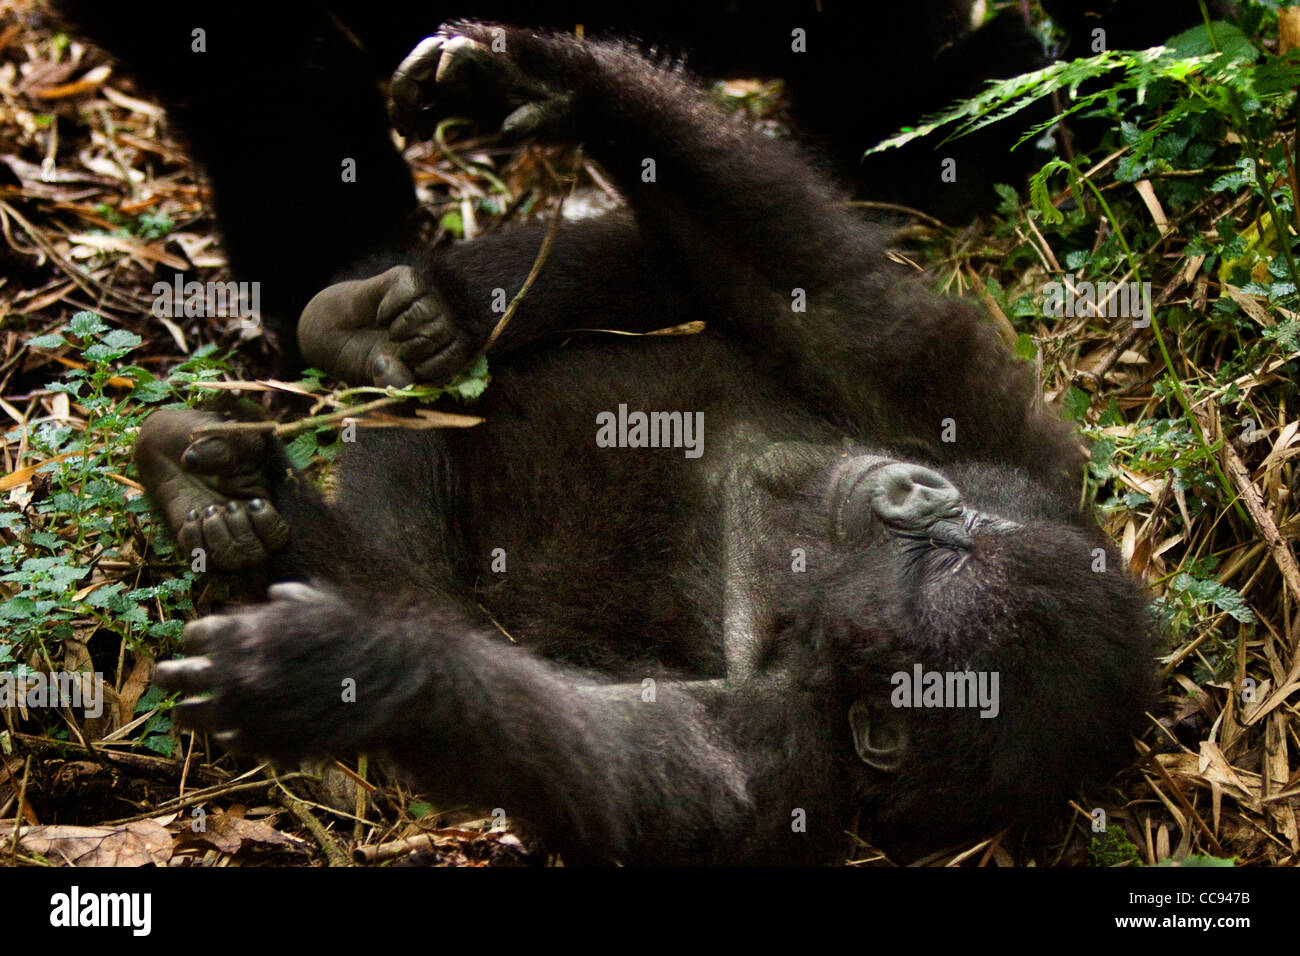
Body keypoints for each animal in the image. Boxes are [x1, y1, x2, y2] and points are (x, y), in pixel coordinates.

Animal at [134, 22, 1159, 863]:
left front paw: (358, 669)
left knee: (415, 566)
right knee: (662, 268)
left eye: (941, 561)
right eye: (958, 526)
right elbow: (835, 312)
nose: (921, 496)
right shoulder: (994, 431)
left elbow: (598, 755)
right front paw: (552, 79)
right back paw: (396, 321)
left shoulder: (773, 760)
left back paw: (244, 500)